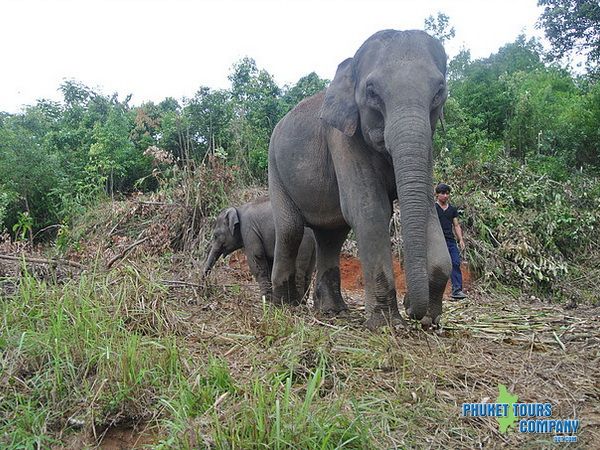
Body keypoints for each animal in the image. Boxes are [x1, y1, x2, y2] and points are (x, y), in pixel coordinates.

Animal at [268, 29, 450, 328]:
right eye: (372, 92)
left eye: (439, 92)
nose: (411, 306)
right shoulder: (342, 139)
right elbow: (370, 210)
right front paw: (387, 324)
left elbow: (428, 208)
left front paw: (429, 321)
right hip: (275, 168)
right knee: (290, 230)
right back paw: (283, 305)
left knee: (332, 236)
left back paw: (332, 310)